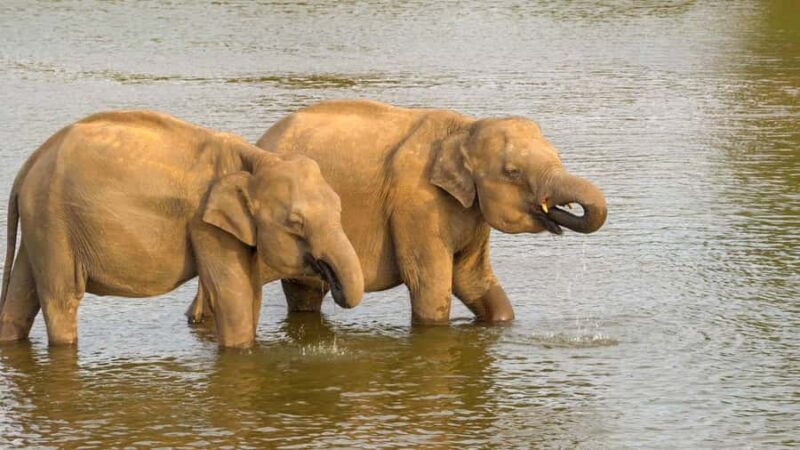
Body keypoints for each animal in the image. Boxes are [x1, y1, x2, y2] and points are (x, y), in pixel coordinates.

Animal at [0, 111, 363, 348]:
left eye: (339, 209)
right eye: (295, 223)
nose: (328, 278)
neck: (258, 159)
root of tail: (29, 164)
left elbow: (251, 292)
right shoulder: (205, 224)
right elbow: (233, 295)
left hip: (41, 222)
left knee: (23, 290)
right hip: (53, 220)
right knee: (62, 297)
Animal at [187, 99, 607, 325]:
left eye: (557, 155)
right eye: (513, 172)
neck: (465, 128)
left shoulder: (470, 213)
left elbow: (472, 278)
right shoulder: (416, 204)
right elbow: (430, 284)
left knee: (305, 293)